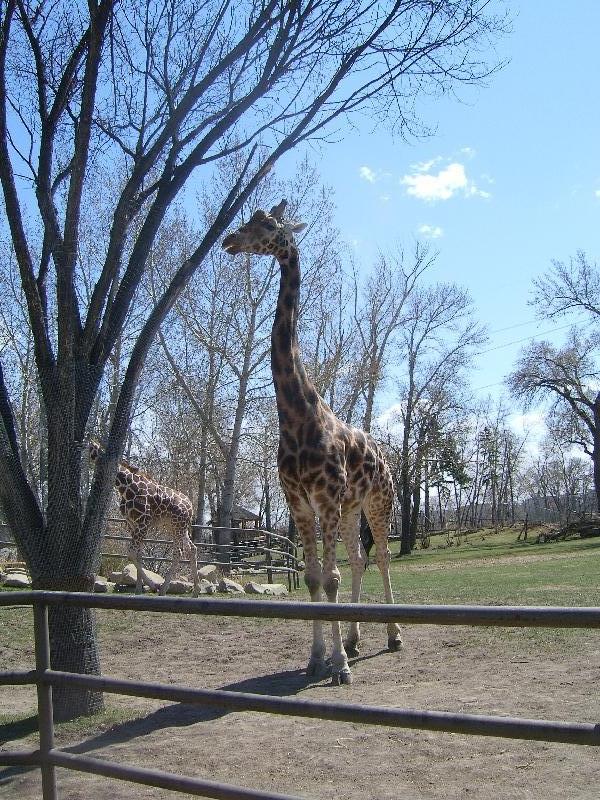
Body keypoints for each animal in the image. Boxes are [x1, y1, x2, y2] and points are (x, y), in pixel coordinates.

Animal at [89, 440, 200, 596]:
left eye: (90, 448)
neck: (126, 488)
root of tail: (190, 506)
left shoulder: (143, 522)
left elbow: (131, 553)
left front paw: (152, 586)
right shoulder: (131, 523)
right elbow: (139, 554)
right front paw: (138, 590)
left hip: (177, 526)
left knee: (179, 552)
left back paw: (163, 589)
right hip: (177, 527)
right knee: (192, 549)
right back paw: (196, 590)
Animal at [221, 200, 404, 680]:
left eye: (267, 225)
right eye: (250, 219)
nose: (230, 239)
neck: (296, 415)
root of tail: (386, 456)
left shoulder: (325, 499)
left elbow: (331, 578)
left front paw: (338, 665)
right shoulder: (299, 502)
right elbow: (313, 578)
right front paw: (318, 658)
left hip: (378, 502)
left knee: (381, 557)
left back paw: (393, 635)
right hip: (352, 508)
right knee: (359, 559)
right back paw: (357, 640)